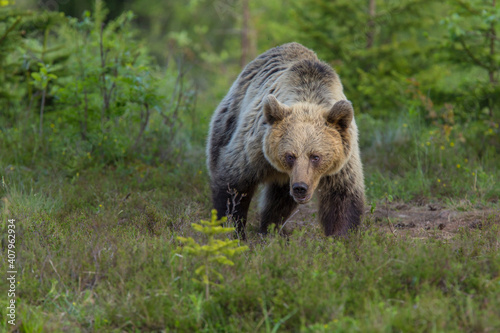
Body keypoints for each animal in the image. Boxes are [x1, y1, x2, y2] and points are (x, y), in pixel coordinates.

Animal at [205, 42, 366, 239]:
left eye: (316, 156)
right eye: (290, 155)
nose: (300, 187)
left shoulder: (342, 160)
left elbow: (343, 196)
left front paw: (340, 237)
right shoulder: (256, 147)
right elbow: (234, 183)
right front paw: (230, 228)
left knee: (278, 200)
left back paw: (271, 229)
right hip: (229, 118)